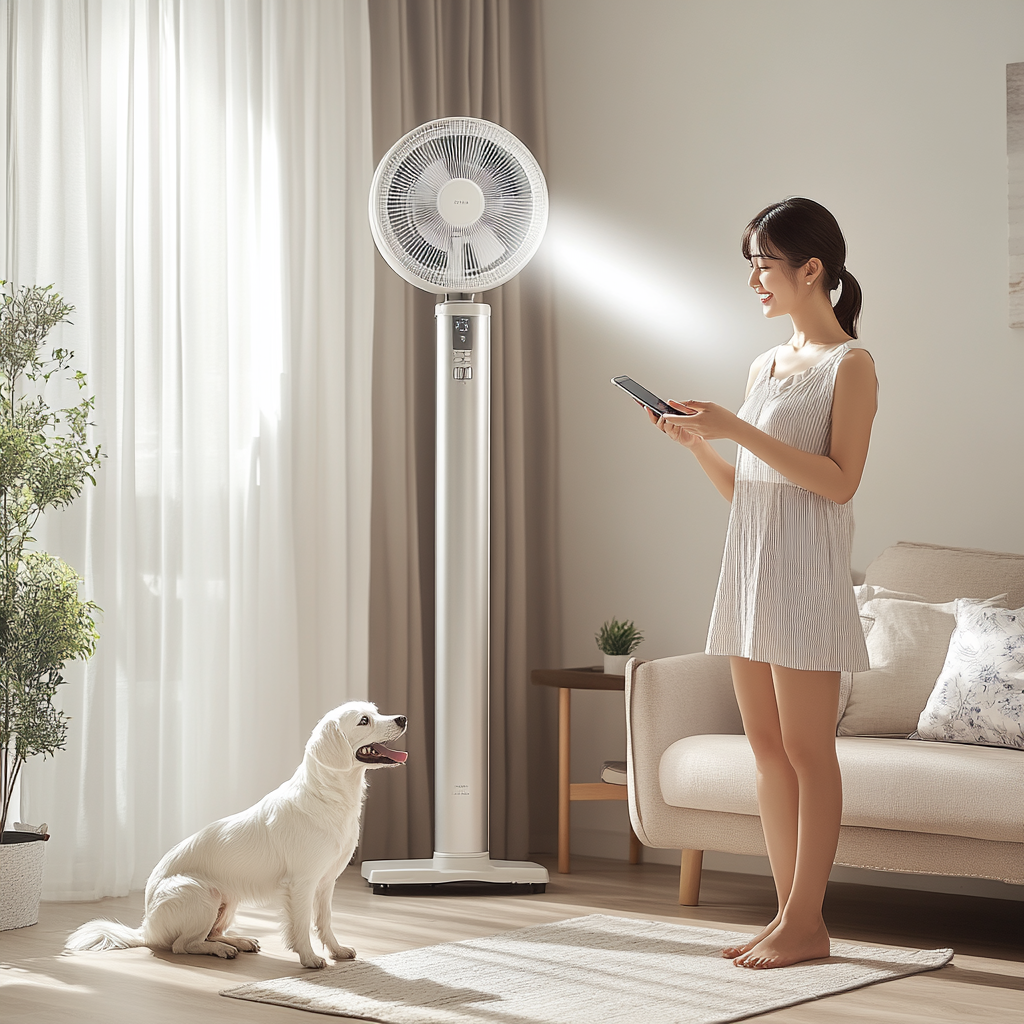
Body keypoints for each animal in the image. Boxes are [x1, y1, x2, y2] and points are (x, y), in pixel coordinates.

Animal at [61, 704, 407, 966]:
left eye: (377, 710)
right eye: (364, 720)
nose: (403, 718)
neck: (328, 797)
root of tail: (146, 929)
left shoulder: (326, 882)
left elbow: (325, 922)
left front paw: (337, 950)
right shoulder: (302, 883)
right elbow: (300, 926)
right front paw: (309, 959)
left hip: (228, 901)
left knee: (204, 935)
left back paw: (236, 941)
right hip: (202, 894)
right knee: (182, 945)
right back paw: (221, 949)